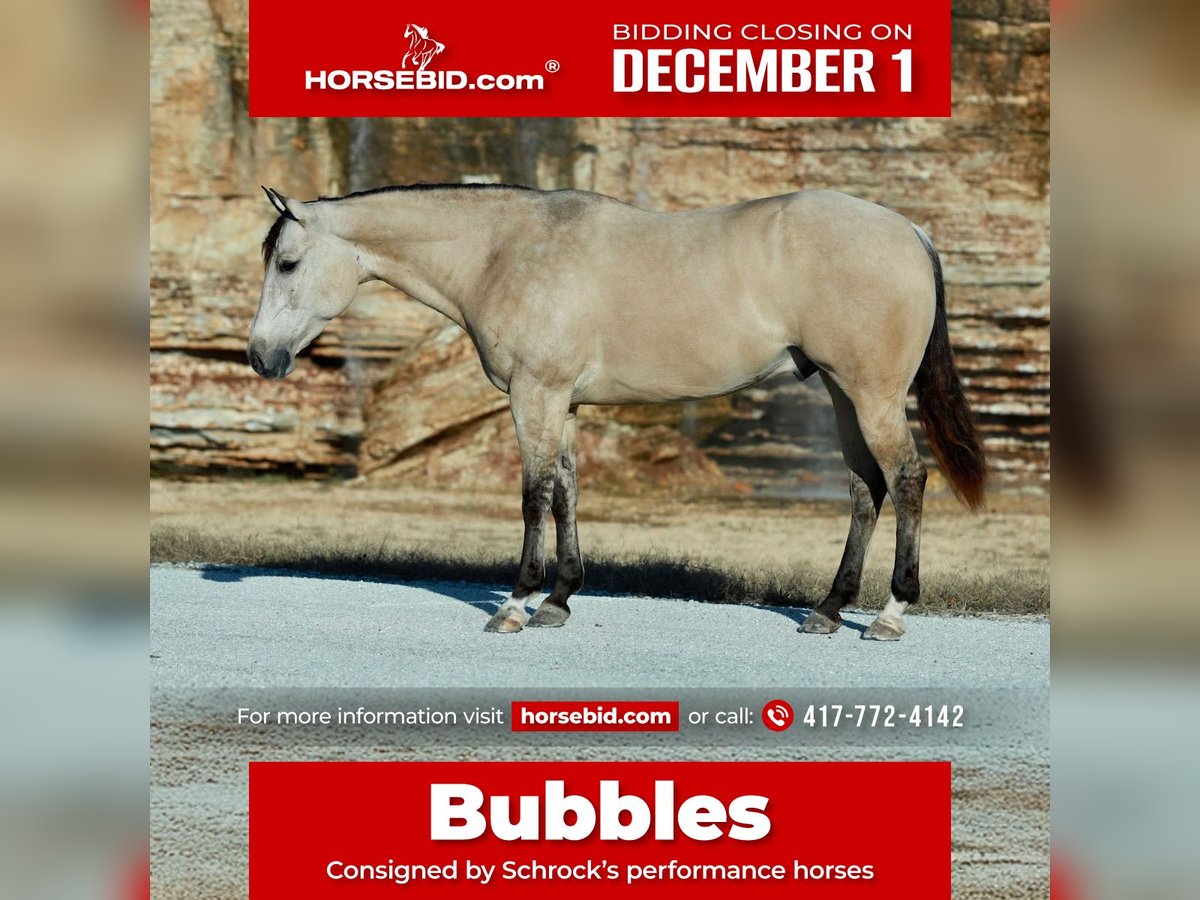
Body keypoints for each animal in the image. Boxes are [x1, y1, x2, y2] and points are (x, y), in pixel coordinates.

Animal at [250, 183, 987, 640]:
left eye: (287, 263)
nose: (260, 357)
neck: (501, 251)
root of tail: (910, 231)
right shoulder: (563, 403)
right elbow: (567, 495)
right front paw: (559, 598)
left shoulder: (535, 396)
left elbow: (533, 498)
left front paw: (516, 603)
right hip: (840, 393)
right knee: (866, 491)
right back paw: (830, 610)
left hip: (872, 396)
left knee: (906, 481)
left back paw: (890, 613)